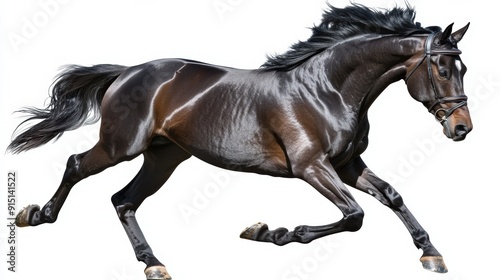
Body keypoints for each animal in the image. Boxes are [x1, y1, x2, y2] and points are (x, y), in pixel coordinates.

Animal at [9, 4, 472, 280]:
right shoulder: (311, 167)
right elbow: (354, 215)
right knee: (75, 165)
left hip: (164, 158)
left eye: (462, 68)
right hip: (121, 147)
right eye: (443, 69)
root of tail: (127, 72)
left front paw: (431, 254)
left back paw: (154, 264)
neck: (328, 90)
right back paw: (35, 216)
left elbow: (392, 196)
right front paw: (269, 232)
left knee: (123, 200)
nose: (462, 129)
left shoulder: (347, 165)